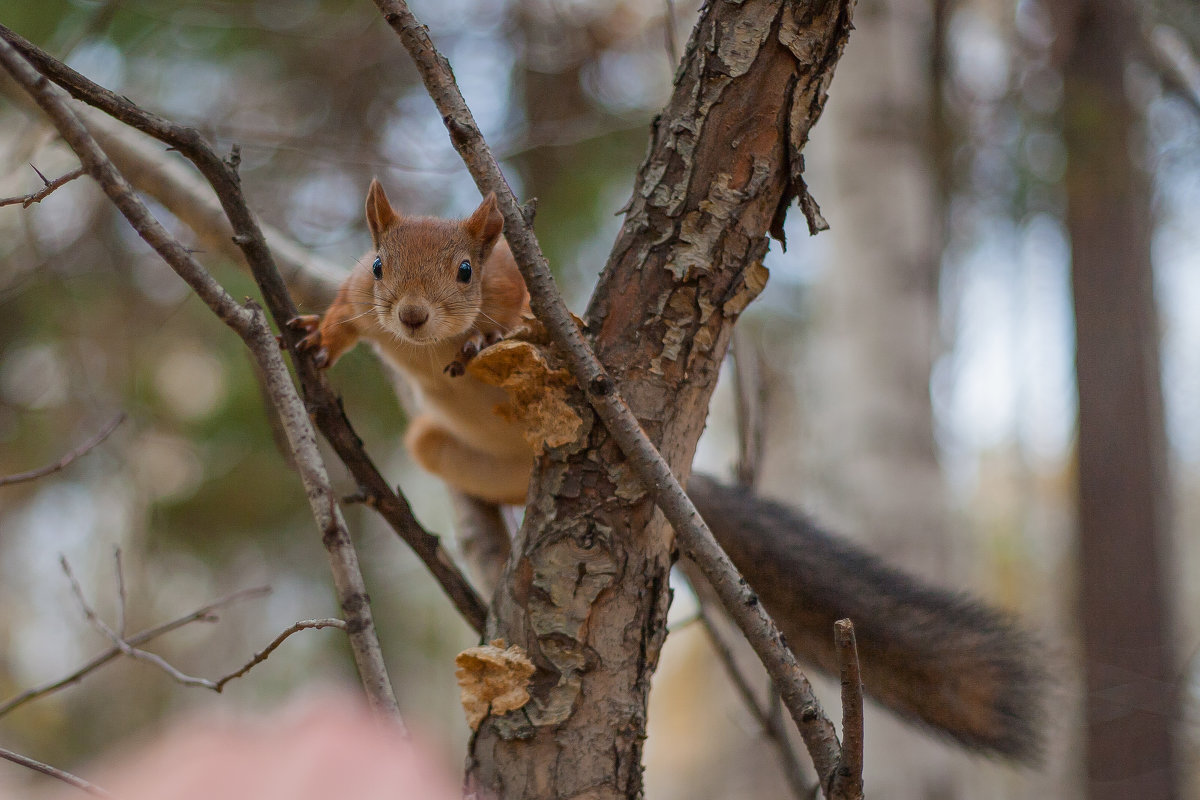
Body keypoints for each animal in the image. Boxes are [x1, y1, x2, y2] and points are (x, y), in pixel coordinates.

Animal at [288, 179, 1041, 762]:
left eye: (468, 270)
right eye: (378, 264)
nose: (413, 316)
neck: (424, 346)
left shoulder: (521, 299)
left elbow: (526, 327)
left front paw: (483, 338)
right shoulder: (360, 298)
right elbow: (345, 316)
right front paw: (319, 334)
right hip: (432, 446)